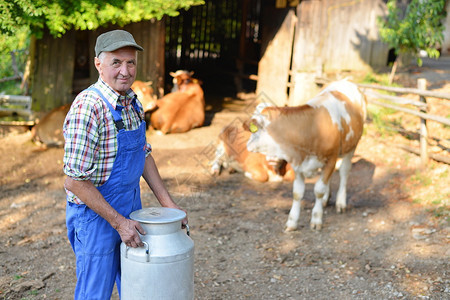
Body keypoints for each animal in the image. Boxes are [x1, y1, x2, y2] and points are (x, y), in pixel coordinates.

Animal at [244, 78, 368, 231]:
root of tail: (346, 80)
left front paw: (316, 219)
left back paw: (340, 202)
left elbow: (319, 190)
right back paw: (326, 199)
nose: (247, 145)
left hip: (352, 146)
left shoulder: (330, 159)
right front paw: (292, 222)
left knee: (344, 172)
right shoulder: (298, 164)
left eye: (253, 129)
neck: (312, 129)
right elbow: (298, 193)